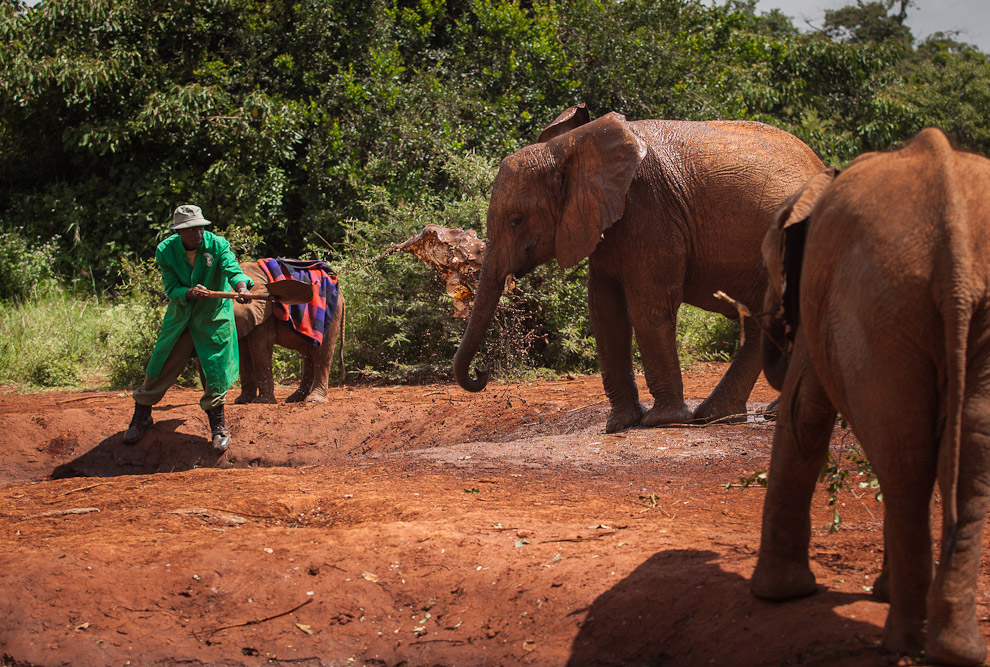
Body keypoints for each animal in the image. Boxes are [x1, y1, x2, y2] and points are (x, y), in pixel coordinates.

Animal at [232, 260, 344, 404]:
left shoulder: (265, 313)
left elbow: (259, 346)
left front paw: (262, 402)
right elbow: (243, 351)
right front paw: (242, 401)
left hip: (331, 314)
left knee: (321, 353)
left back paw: (314, 399)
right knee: (308, 355)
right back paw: (295, 398)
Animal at [454, 102, 824, 430]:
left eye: (516, 220)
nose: (482, 372)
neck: (567, 148)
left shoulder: (650, 209)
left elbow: (648, 307)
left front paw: (662, 421)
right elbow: (605, 312)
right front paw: (619, 425)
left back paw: (722, 416)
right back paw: (741, 415)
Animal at [752, 128, 990, 664]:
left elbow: (803, 413)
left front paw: (776, 597)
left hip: (879, 298)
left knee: (907, 457)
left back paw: (906, 641)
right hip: (909, 304)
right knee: (966, 456)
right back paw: (953, 650)